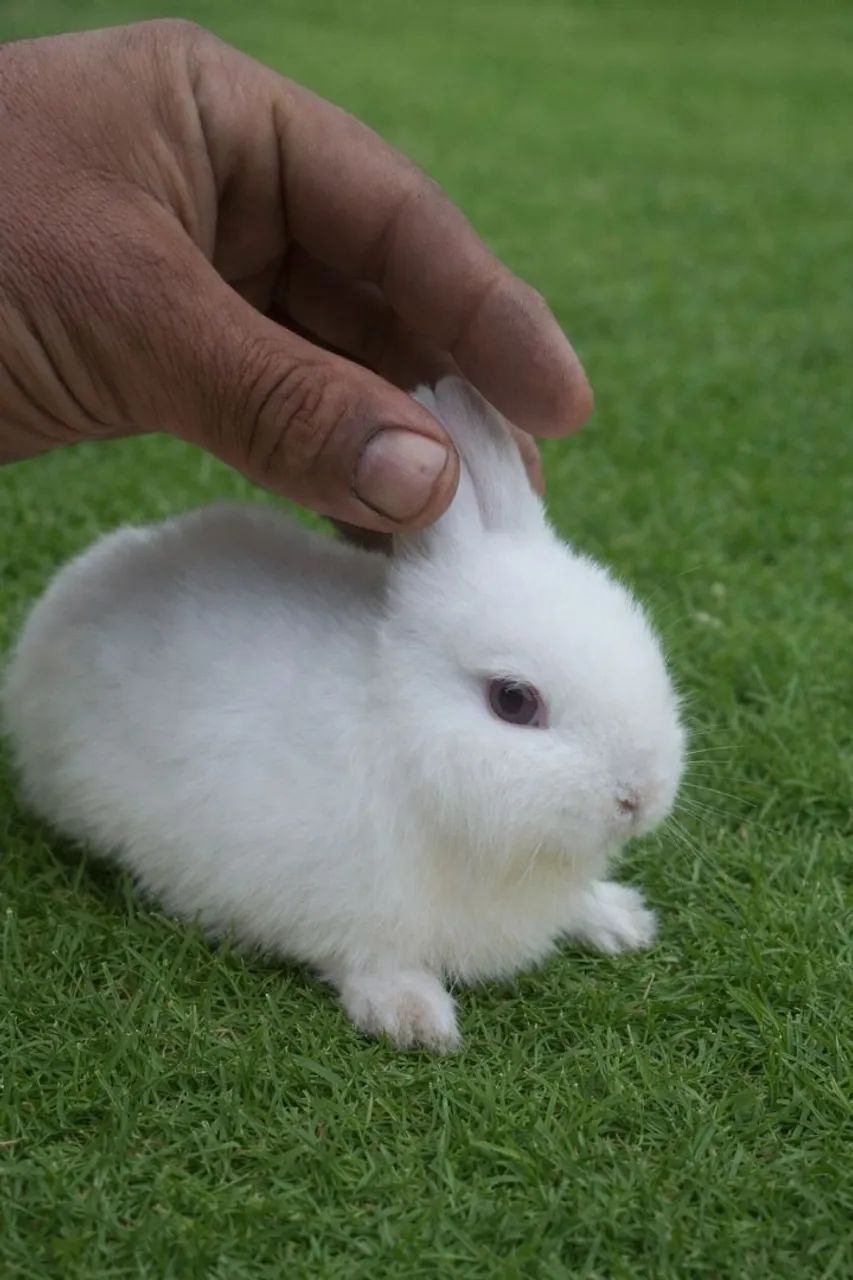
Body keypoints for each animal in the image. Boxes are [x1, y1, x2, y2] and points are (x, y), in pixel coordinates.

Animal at [2, 377, 685, 1051]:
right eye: (513, 701)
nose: (638, 799)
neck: (402, 733)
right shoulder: (344, 904)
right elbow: (368, 960)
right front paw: (416, 1020)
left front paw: (621, 920)